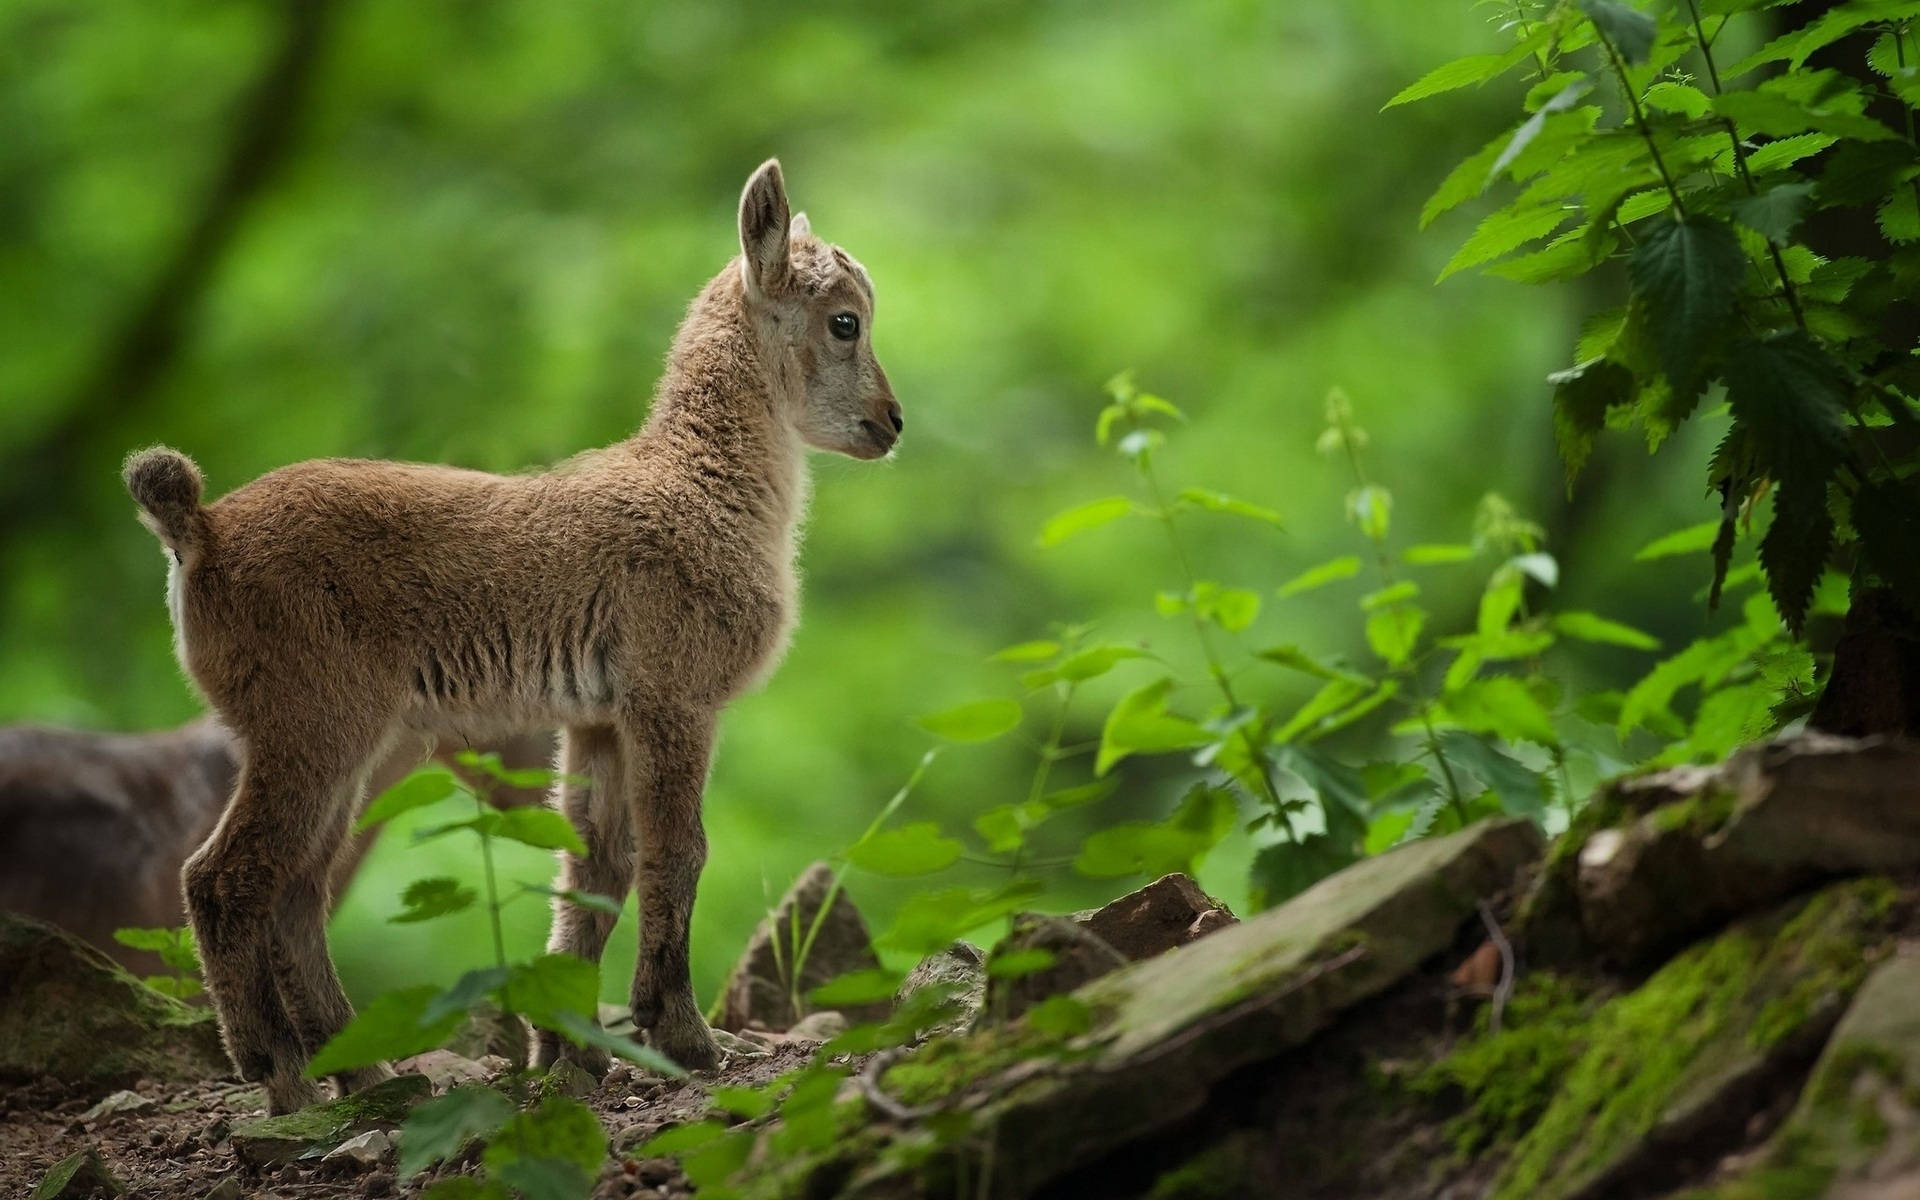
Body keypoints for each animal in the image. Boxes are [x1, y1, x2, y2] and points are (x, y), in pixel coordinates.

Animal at [123, 161, 902, 1113]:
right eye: (845, 321)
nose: (891, 423)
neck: (702, 486)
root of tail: (200, 534)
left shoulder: (597, 717)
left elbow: (595, 870)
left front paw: (572, 1050)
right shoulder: (673, 695)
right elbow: (676, 853)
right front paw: (685, 1037)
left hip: (363, 743)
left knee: (300, 888)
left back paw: (370, 1074)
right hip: (311, 723)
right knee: (225, 879)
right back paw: (283, 1080)